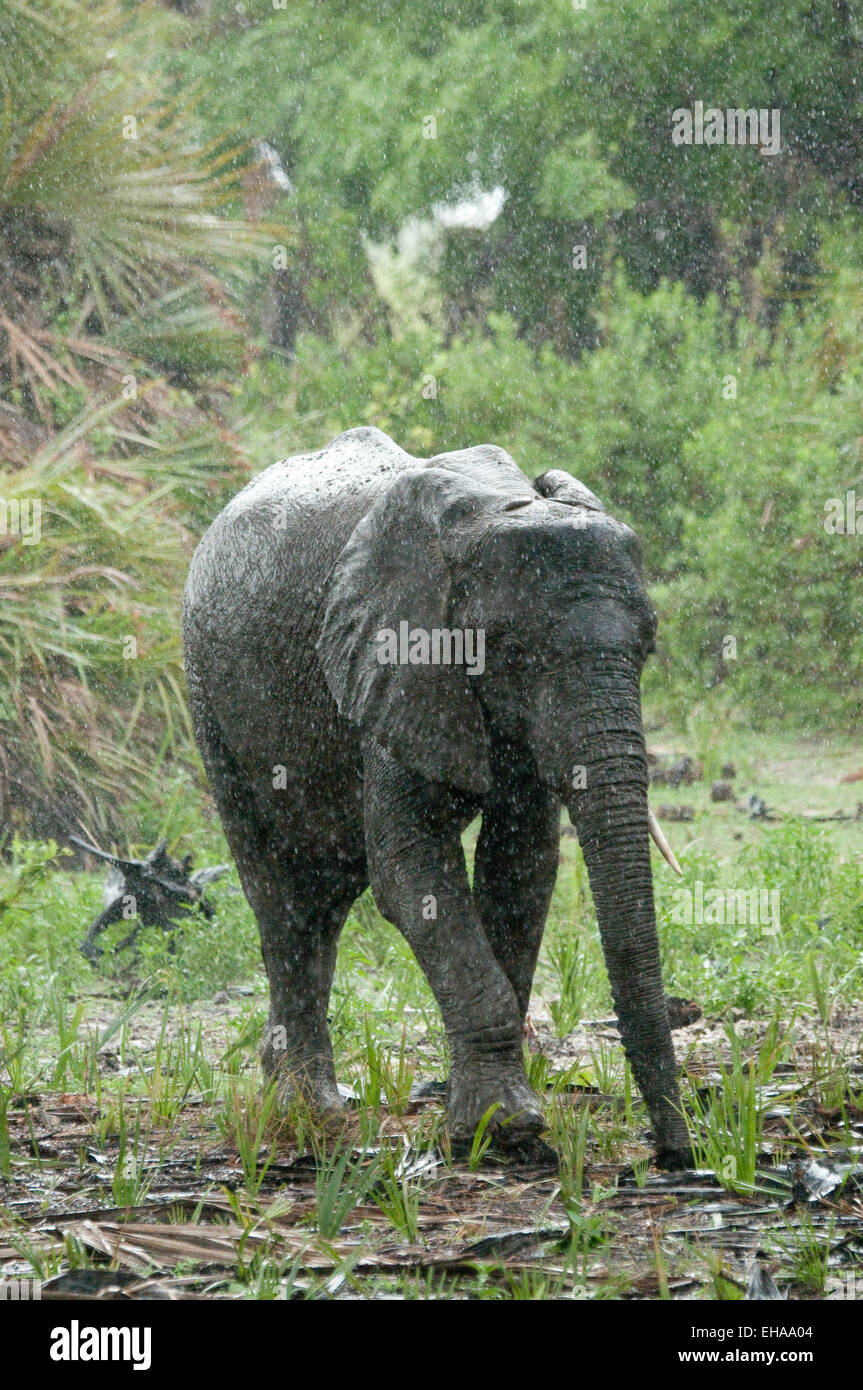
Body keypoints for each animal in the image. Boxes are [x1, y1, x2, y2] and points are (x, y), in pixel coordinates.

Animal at [184, 422, 689, 1162]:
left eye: (647, 650)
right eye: (514, 655)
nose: (674, 1155)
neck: (498, 512)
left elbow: (521, 868)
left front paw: (488, 1117)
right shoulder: (393, 657)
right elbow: (411, 874)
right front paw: (505, 1129)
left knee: (324, 893)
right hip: (206, 694)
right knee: (279, 893)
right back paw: (306, 1108)